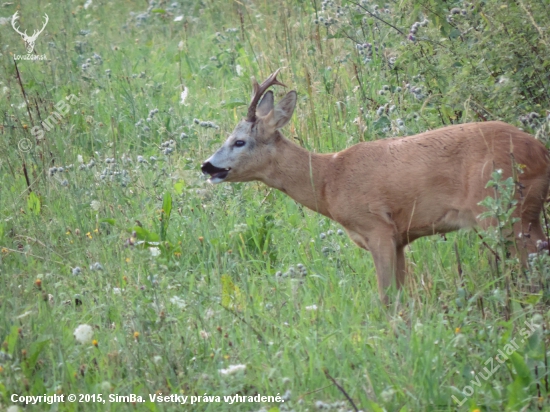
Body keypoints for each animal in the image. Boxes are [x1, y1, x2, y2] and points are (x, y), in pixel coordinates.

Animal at [204, 69, 550, 300]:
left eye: (239, 141)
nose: (207, 165)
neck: (330, 180)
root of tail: (541, 152)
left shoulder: (377, 228)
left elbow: (386, 298)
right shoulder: (399, 238)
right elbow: (400, 295)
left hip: (502, 209)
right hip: (526, 210)